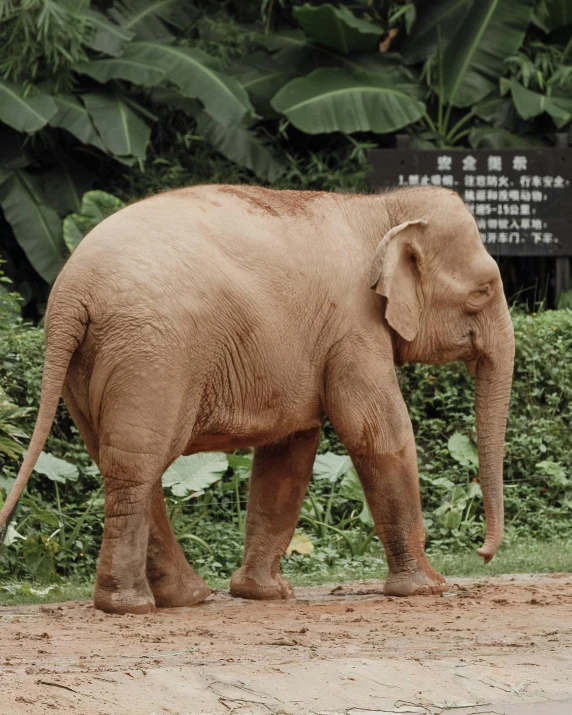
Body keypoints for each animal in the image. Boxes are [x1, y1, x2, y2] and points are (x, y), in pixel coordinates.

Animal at [0, 185, 512, 616]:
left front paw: (264, 595)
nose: (483, 554)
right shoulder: (354, 328)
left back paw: (184, 598)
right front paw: (428, 589)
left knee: (125, 464)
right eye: (482, 291)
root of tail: (71, 292)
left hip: (91, 367)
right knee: (137, 466)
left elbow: (290, 451)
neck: (380, 208)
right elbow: (377, 433)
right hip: (150, 355)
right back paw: (131, 607)